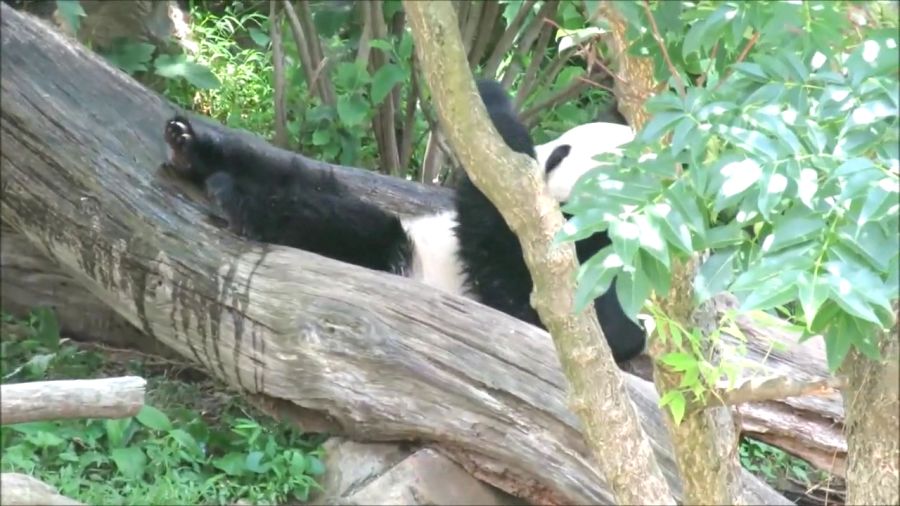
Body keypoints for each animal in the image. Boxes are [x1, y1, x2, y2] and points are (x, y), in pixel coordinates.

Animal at [162, 79, 648, 362]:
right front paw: (486, 98)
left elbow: (517, 281)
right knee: (317, 194)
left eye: (563, 155)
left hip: (402, 259)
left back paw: (233, 195)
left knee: (337, 226)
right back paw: (194, 149)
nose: (544, 153)